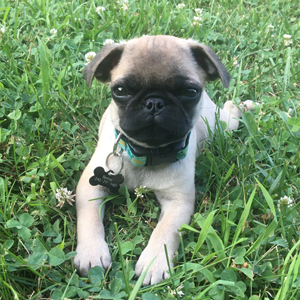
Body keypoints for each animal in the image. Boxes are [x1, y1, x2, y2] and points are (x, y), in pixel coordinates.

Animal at [74, 34, 253, 284]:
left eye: (190, 92)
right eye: (120, 90)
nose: (154, 102)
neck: (144, 153)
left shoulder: (178, 202)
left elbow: (165, 230)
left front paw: (154, 262)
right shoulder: (90, 187)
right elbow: (89, 218)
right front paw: (92, 253)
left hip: (220, 125)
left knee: (230, 114)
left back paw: (242, 106)